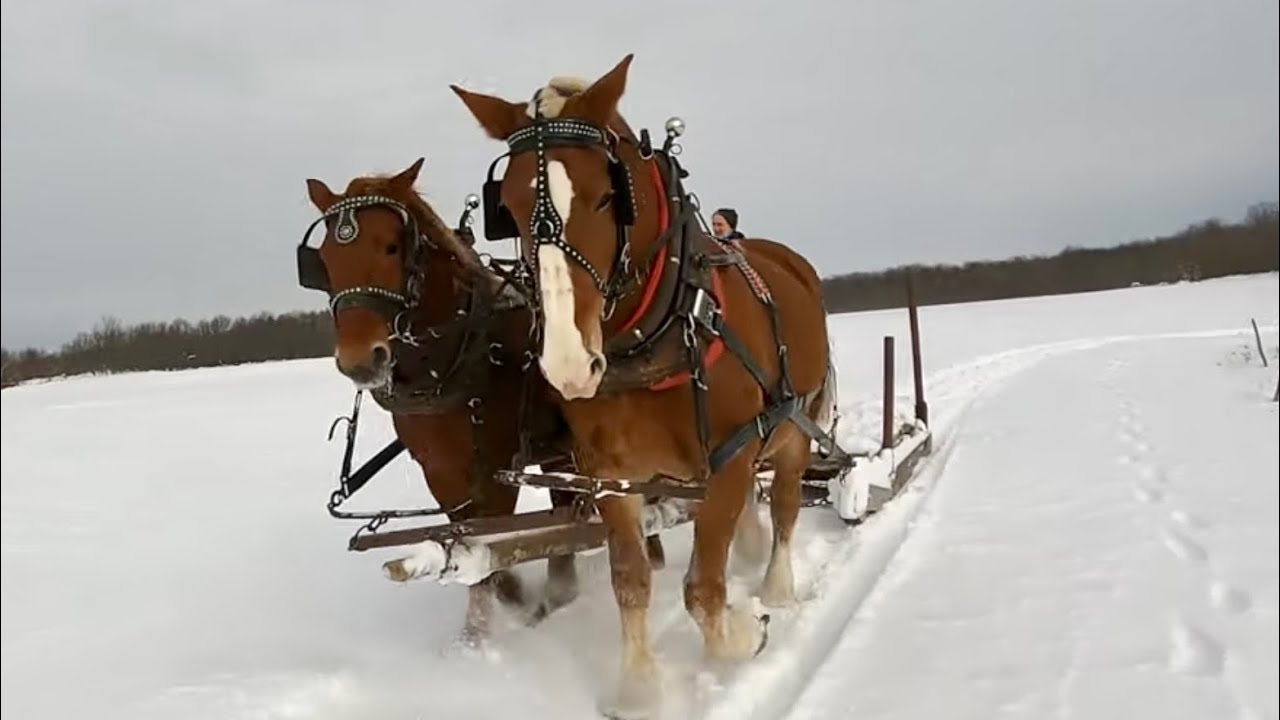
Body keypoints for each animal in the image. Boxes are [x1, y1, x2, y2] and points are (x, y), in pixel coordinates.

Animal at [297, 158, 608, 643]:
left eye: (392, 247)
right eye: (325, 260)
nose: (359, 362)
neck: (457, 351)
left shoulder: (497, 468)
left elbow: (486, 545)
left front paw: (476, 640)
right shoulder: (442, 472)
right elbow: (471, 546)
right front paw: (508, 605)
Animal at [451, 55, 838, 717]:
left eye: (610, 195)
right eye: (507, 207)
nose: (568, 363)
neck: (656, 329)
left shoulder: (731, 457)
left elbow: (703, 590)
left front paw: (746, 633)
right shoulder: (611, 476)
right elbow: (630, 581)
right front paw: (638, 690)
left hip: (792, 426)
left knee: (787, 502)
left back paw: (776, 586)